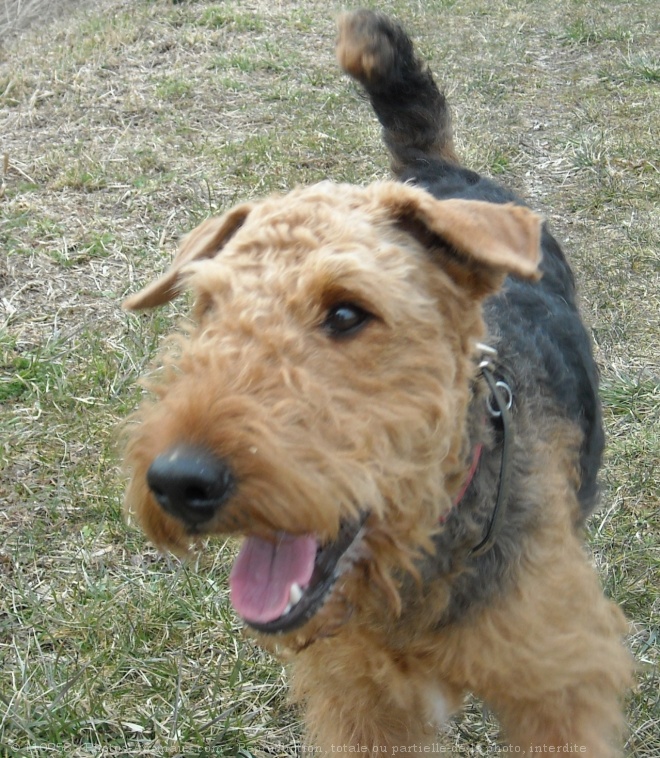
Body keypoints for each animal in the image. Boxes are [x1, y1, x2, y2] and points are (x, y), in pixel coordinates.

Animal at [121, 8, 632, 756]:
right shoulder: (359, 702)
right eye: (207, 306)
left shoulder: (559, 690)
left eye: (346, 313)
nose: (179, 481)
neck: (418, 552)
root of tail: (434, 168)